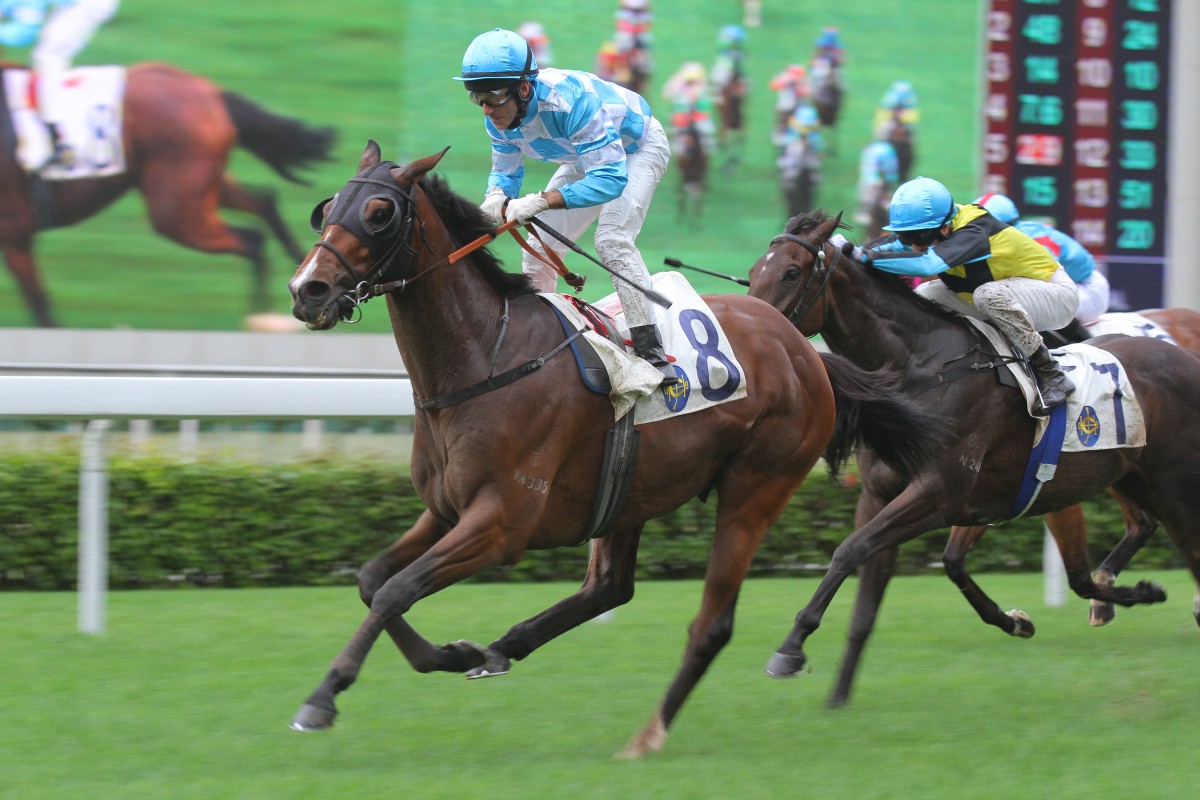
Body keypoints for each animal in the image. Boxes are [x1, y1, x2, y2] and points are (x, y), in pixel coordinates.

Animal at [0, 61, 333, 326]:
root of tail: (210, 91)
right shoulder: (17, 236)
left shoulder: (15, 233)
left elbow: (40, 306)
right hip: (200, 189)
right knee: (264, 203)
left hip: (178, 208)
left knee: (252, 238)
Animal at [280, 142, 945, 758]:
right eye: (326, 210)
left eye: (379, 213)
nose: (307, 289)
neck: (483, 359)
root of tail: (806, 350)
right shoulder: (447, 510)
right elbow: (373, 580)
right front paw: (453, 652)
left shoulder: (500, 522)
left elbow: (398, 588)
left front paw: (321, 698)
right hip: (631, 491)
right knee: (610, 587)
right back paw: (503, 648)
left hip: (755, 489)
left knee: (711, 623)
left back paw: (648, 734)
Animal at [744, 211, 1200, 705]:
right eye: (753, 271)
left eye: (791, 272)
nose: (755, 328)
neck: (923, 368)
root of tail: (1185, 357)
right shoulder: (907, 496)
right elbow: (879, 589)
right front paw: (839, 694)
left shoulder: (940, 492)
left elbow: (850, 550)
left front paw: (790, 648)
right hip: (1133, 478)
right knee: (1136, 534)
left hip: (1173, 488)